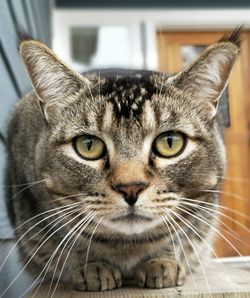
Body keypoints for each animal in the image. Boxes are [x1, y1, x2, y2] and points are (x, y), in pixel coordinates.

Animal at [3, 29, 240, 292]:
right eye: (88, 145)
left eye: (170, 142)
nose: (131, 187)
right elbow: (70, 240)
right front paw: (92, 267)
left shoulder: (203, 206)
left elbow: (177, 236)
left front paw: (162, 262)